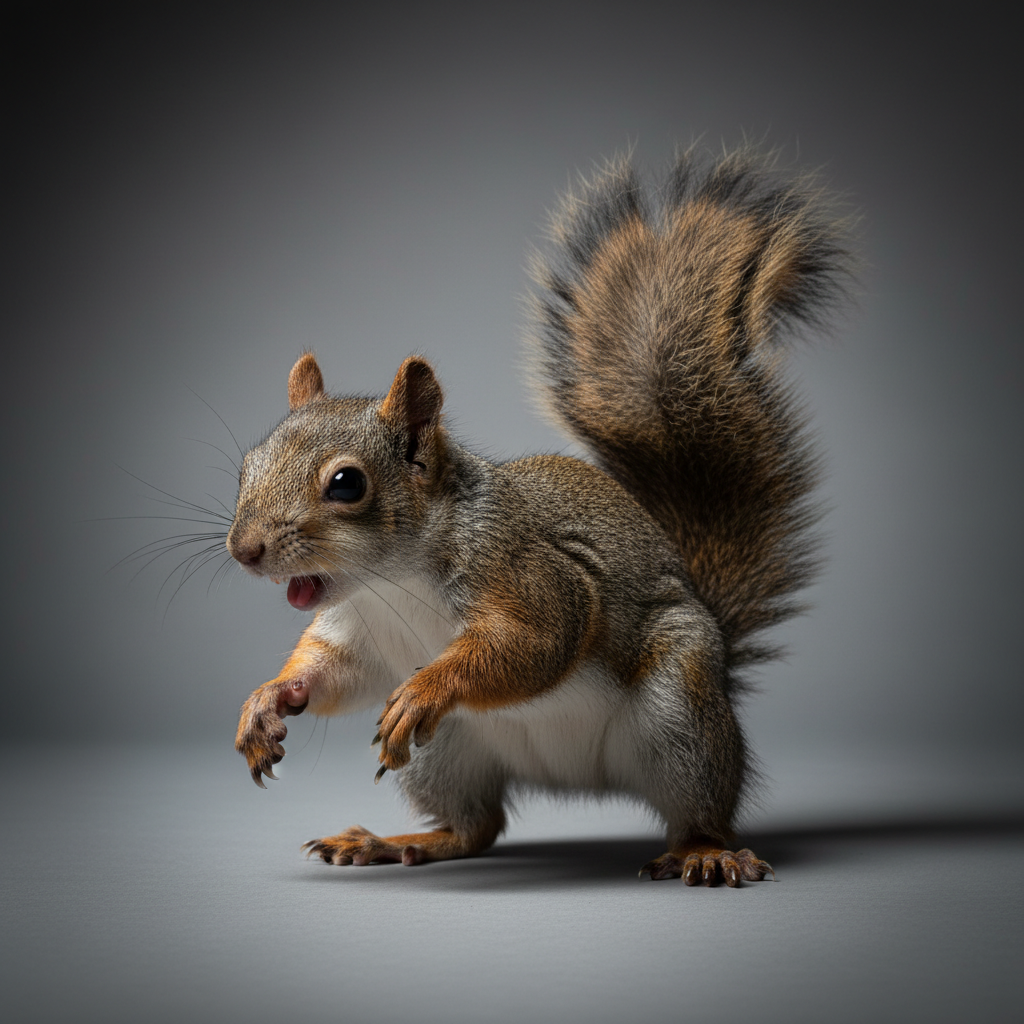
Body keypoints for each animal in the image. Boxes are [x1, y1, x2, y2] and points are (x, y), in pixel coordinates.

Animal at [226, 145, 849, 885]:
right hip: (449, 751)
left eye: (347, 484)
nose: (243, 550)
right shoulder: (357, 630)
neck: (390, 583)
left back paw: (704, 852)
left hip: (681, 715)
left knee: (699, 810)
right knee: (476, 827)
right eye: (246, 465)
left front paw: (428, 684)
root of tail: (578, 780)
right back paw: (393, 841)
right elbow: (332, 670)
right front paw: (269, 700)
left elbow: (536, 640)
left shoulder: (529, 570)